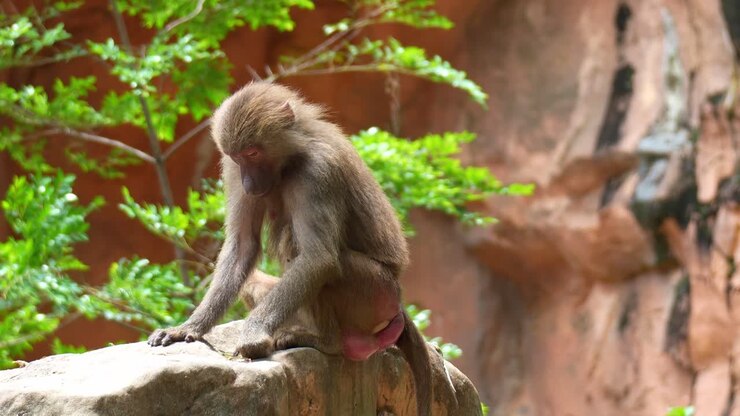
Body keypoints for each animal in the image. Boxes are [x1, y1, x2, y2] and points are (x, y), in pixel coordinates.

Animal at [148, 82, 437, 415]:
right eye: (238, 157)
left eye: (253, 152)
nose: (248, 184)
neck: (293, 155)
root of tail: (396, 303)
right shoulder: (232, 171)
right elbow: (242, 246)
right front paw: (188, 328)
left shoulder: (317, 173)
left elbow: (318, 258)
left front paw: (253, 334)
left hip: (376, 293)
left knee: (303, 249)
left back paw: (325, 342)